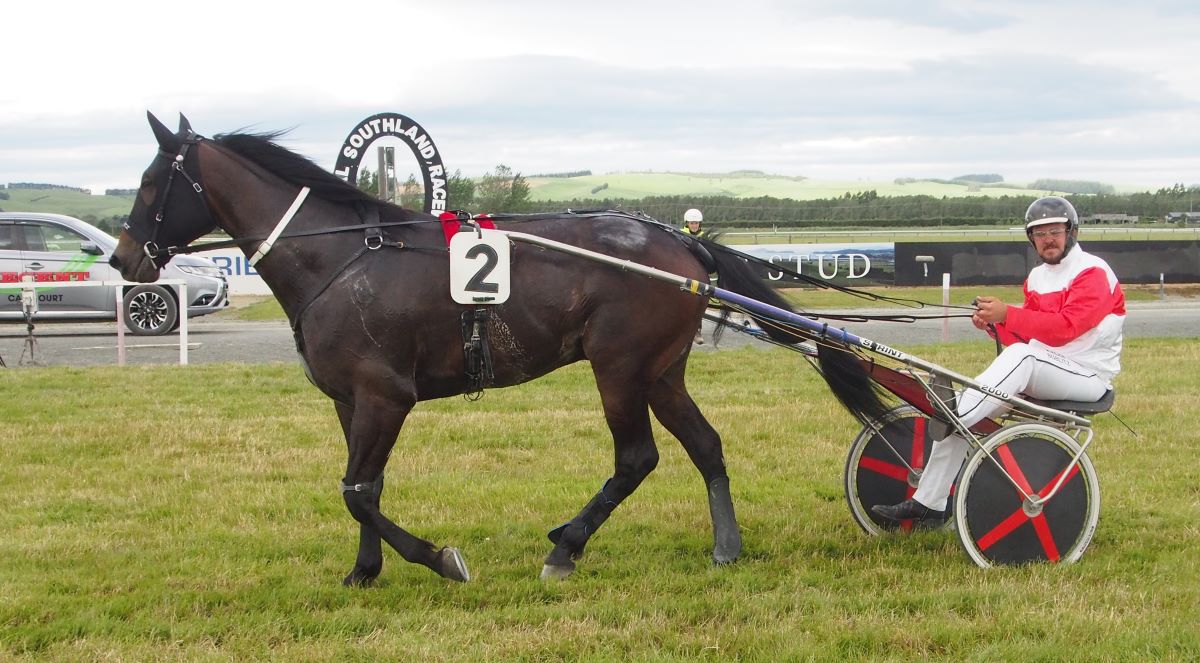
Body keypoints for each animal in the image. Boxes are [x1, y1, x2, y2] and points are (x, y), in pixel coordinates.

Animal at [112, 114, 883, 586]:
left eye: (151, 182)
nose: (123, 258)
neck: (340, 257)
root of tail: (683, 244)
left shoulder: (385, 395)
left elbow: (357, 489)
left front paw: (439, 558)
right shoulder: (350, 399)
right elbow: (364, 488)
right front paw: (364, 570)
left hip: (620, 366)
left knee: (637, 457)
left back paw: (566, 546)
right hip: (662, 370)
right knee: (706, 444)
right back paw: (725, 545)